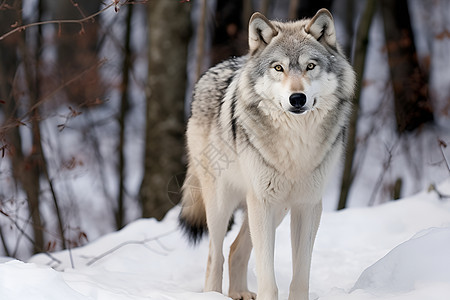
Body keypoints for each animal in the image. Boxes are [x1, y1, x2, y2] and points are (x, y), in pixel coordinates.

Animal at [178, 8, 356, 298]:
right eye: (278, 67)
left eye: (310, 66)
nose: (297, 98)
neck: (295, 143)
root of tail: (210, 72)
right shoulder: (262, 202)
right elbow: (267, 277)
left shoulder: (307, 205)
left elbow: (300, 276)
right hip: (222, 203)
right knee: (215, 255)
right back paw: (214, 293)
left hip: (276, 209)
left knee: (235, 249)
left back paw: (239, 292)